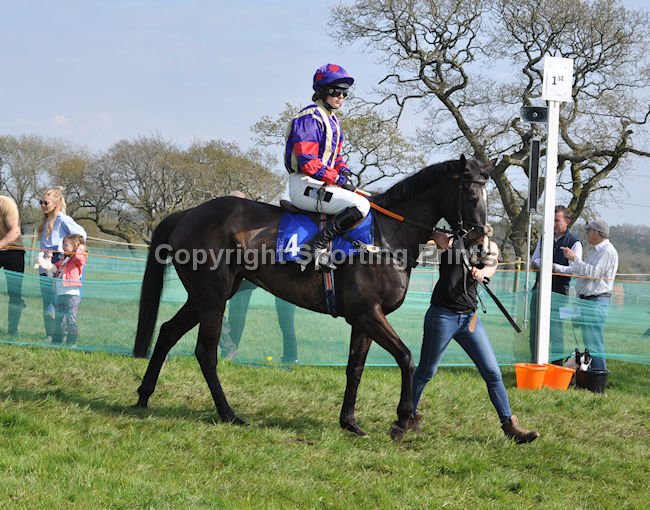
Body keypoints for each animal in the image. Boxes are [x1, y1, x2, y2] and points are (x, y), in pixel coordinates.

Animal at [133, 155, 493, 440]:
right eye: (471, 193)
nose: (481, 246)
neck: (385, 238)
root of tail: (188, 213)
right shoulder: (368, 313)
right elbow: (406, 357)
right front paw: (403, 420)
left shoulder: (363, 319)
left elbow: (355, 368)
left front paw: (350, 422)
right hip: (213, 297)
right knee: (206, 353)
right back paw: (229, 414)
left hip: (205, 296)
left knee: (166, 332)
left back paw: (143, 397)